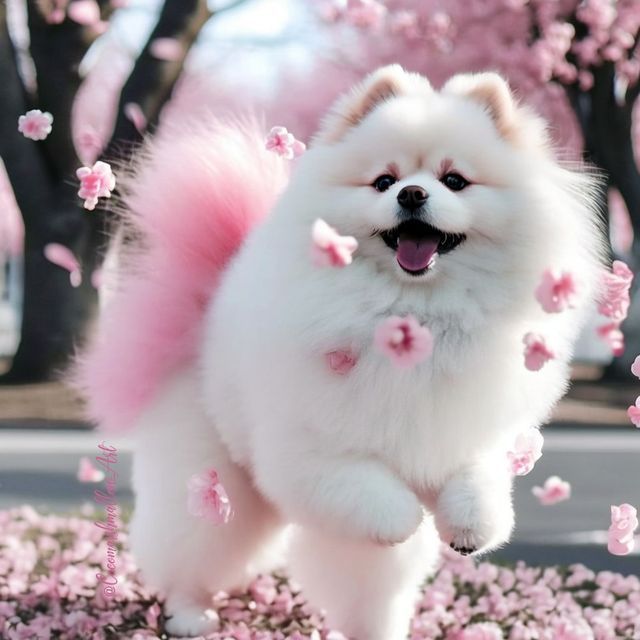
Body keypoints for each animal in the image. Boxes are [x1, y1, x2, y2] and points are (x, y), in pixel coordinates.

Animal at [82, 66, 608, 640]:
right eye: (383, 181)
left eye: (454, 180)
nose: (412, 193)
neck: (415, 317)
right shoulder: (312, 454)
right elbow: (376, 499)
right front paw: (405, 516)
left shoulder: (466, 430)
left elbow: (477, 480)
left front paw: (473, 524)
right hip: (211, 481)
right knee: (190, 548)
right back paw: (188, 612)